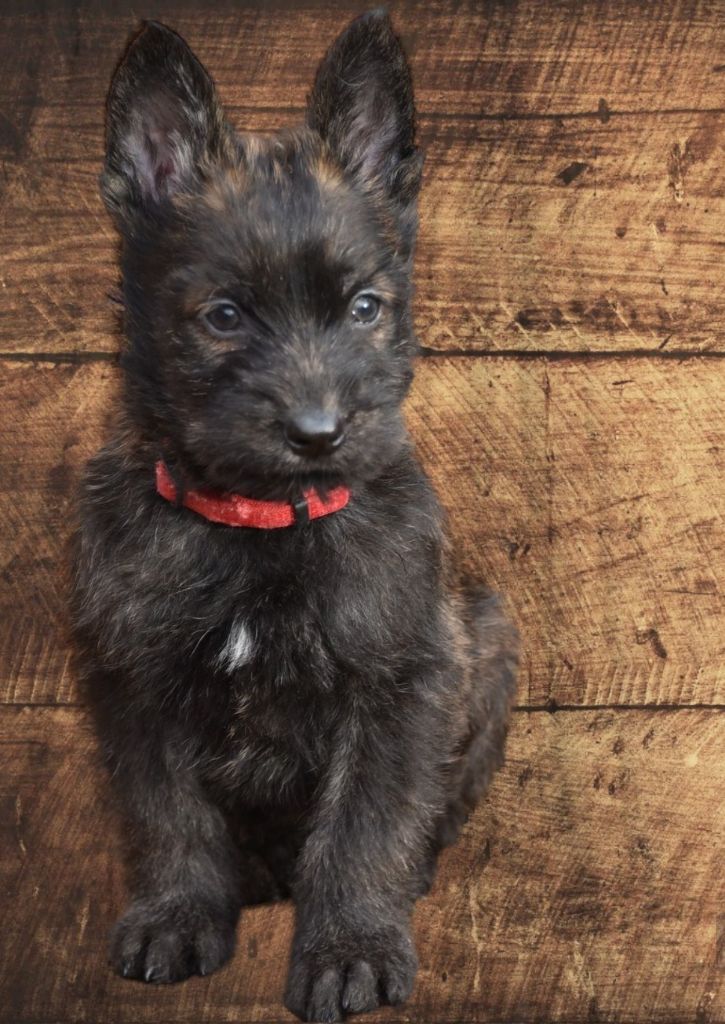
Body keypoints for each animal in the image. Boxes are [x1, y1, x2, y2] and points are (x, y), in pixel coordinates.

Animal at [70, 12, 518, 1019]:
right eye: (223, 317)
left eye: (365, 308)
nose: (319, 433)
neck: (260, 525)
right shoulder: (133, 676)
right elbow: (168, 812)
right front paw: (176, 915)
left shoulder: (401, 681)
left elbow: (366, 823)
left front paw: (349, 947)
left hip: (489, 631)